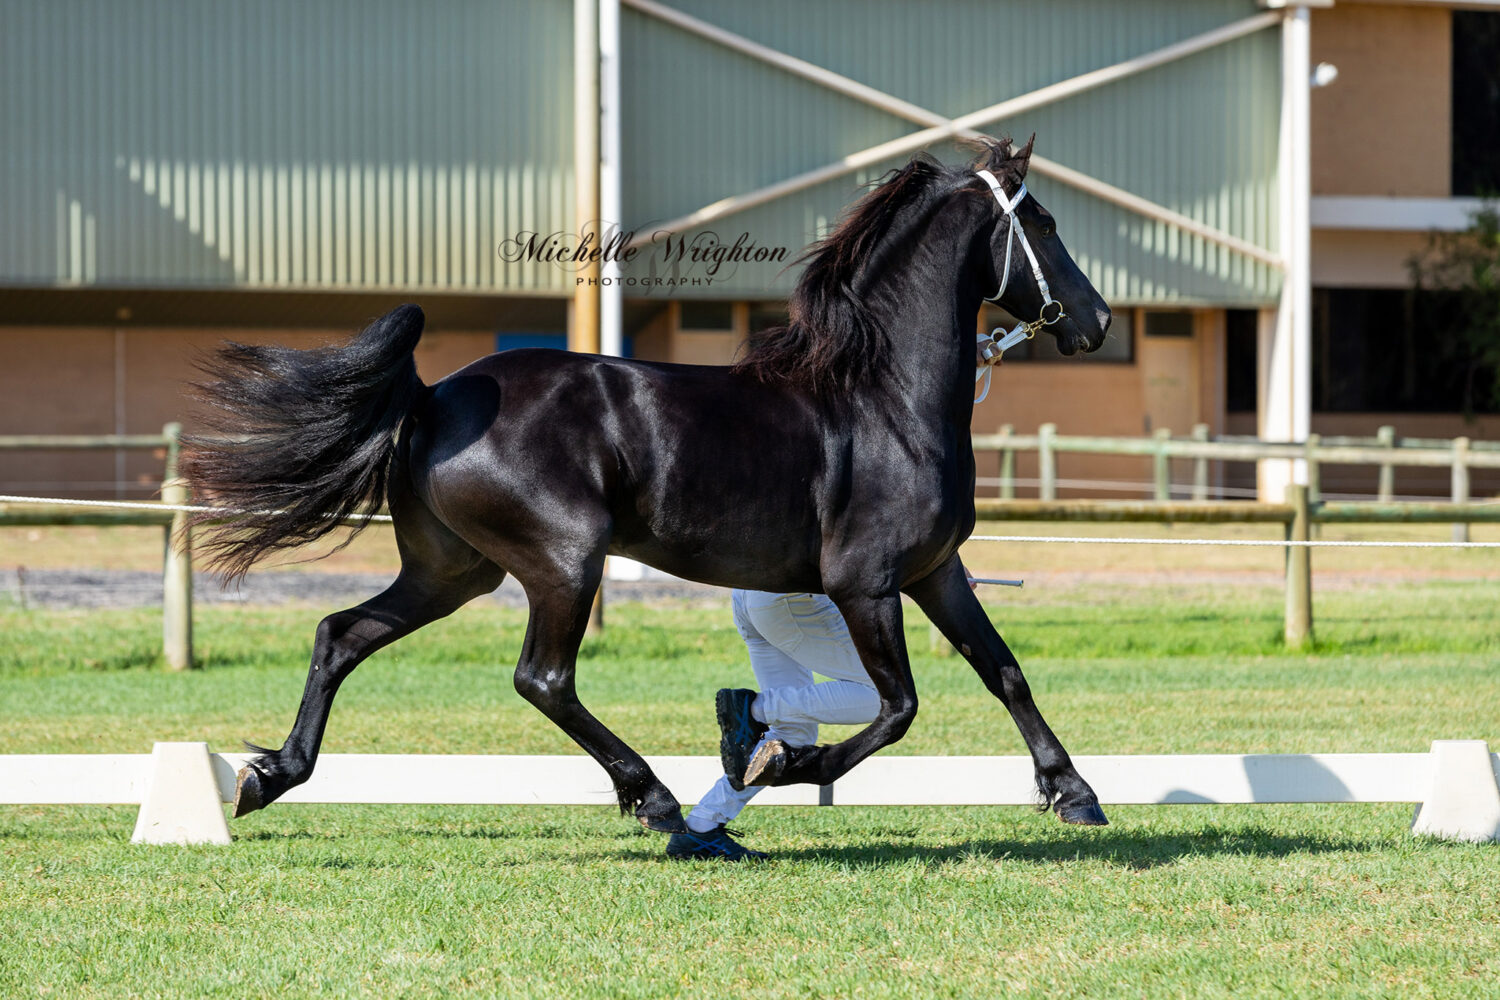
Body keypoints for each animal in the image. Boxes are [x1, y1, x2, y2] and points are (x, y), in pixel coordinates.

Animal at [187, 137, 1116, 833]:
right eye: (1041, 221)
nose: (1099, 322)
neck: (884, 399)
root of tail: (433, 397)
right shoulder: (867, 583)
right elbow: (899, 708)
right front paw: (785, 763)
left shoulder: (936, 572)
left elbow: (1004, 672)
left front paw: (1074, 793)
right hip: (563, 564)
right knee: (542, 679)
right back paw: (654, 797)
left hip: (453, 571)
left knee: (341, 634)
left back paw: (268, 776)